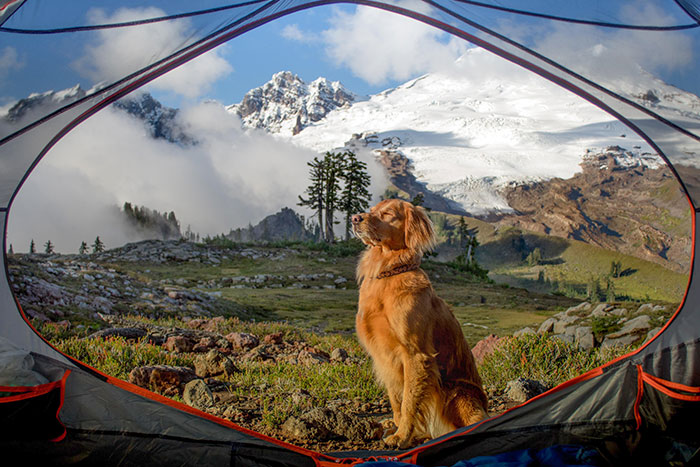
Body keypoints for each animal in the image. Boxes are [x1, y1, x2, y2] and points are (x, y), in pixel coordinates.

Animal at [350, 200, 486, 450]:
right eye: (372, 209)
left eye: (388, 214)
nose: (355, 218)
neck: (388, 272)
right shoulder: (383, 356)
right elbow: (396, 399)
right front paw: (396, 426)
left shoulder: (415, 354)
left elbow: (409, 403)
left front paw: (402, 436)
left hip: (458, 394)